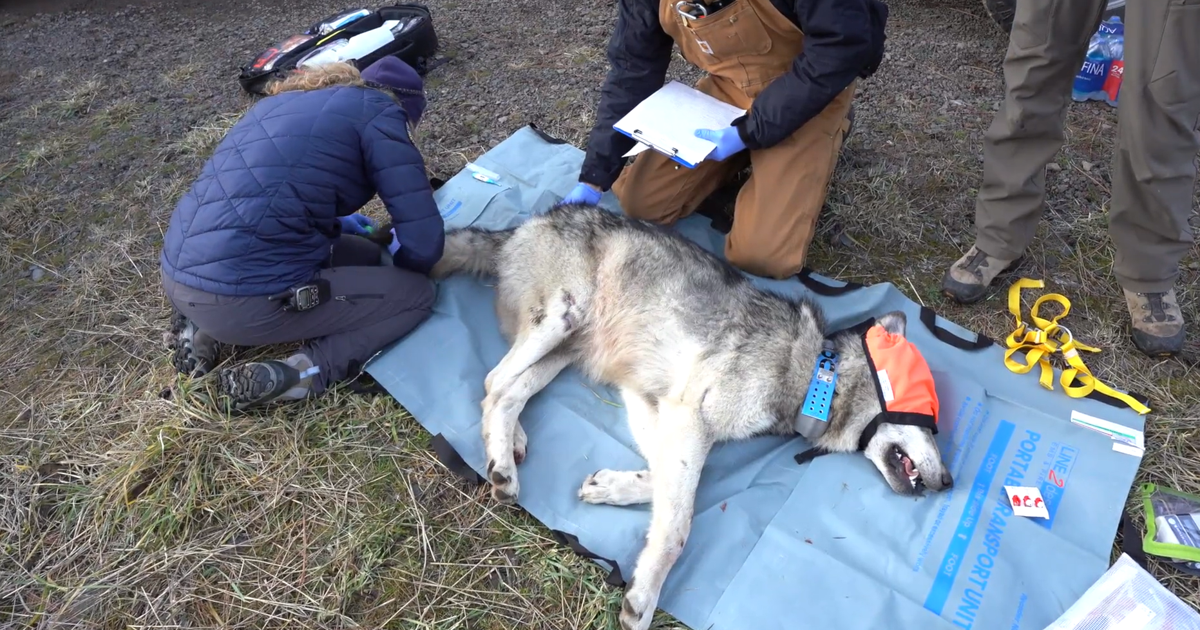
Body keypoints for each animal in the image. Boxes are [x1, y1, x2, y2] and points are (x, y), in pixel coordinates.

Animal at [427, 202, 950, 628]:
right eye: (928, 411)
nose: (948, 482)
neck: (815, 378)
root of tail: (524, 224)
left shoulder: (654, 402)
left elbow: (667, 482)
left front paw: (611, 487)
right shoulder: (687, 416)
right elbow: (679, 524)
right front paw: (643, 597)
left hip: (565, 353)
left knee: (505, 388)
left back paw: (509, 446)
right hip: (561, 319)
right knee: (495, 383)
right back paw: (502, 467)